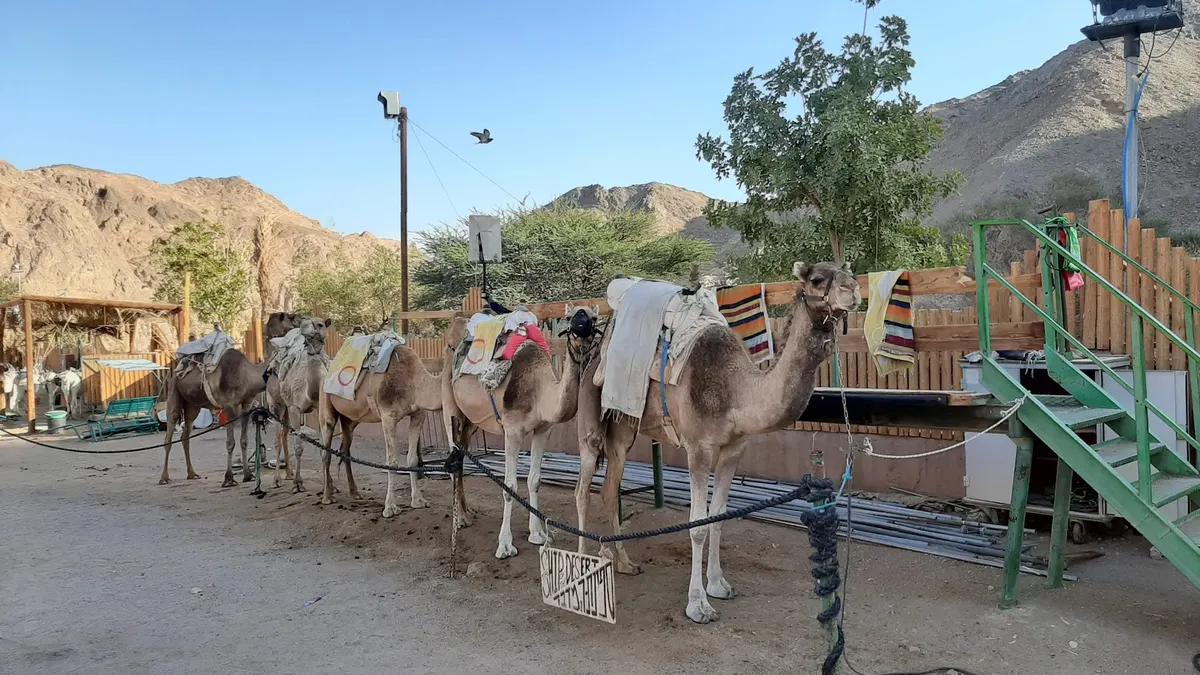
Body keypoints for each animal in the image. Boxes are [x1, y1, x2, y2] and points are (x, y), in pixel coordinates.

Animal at [160, 337, 271, 486]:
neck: (247, 376)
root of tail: (175, 373)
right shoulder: (229, 406)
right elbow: (230, 442)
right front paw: (228, 478)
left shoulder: (247, 405)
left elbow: (244, 440)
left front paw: (248, 475)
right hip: (173, 392)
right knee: (169, 434)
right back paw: (164, 478)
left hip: (192, 406)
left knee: (185, 435)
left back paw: (192, 474)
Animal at [265, 317, 331, 491]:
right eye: (304, 323)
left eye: (320, 324)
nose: (303, 329)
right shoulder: (295, 408)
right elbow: (299, 447)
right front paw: (298, 483)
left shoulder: (319, 408)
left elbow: (323, 447)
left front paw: (329, 485)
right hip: (276, 405)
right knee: (277, 440)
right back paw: (277, 480)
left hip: (286, 409)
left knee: (284, 436)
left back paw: (288, 473)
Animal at [316, 325, 463, 520]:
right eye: (452, 344)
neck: (413, 382)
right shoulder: (388, 417)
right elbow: (391, 462)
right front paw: (390, 508)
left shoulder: (418, 415)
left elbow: (412, 459)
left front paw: (418, 501)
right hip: (326, 406)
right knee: (325, 450)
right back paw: (327, 496)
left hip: (350, 419)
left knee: (345, 449)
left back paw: (354, 492)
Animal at [441, 305, 601, 560]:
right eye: (569, 317)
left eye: (594, 318)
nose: (580, 324)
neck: (540, 391)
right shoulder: (512, 431)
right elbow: (510, 486)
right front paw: (505, 545)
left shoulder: (543, 429)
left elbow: (535, 480)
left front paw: (538, 533)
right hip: (449, 401)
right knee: (453, 455)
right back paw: (460, 520)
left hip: (471, 420)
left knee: (462, 453)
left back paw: (467, 513)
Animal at [576, 261, 860, 624]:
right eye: (817, 279)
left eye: (848, 271)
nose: (853, 290)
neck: (737, 391)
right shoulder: (699, 448)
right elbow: (697, 525)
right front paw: (698, 605)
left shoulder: (733, 449)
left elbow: (719, 517)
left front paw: (718, 585)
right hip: (592, 413)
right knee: (582, 488)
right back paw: (579, 565)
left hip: (624, 428)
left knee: (609, 490)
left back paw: (622, 561)